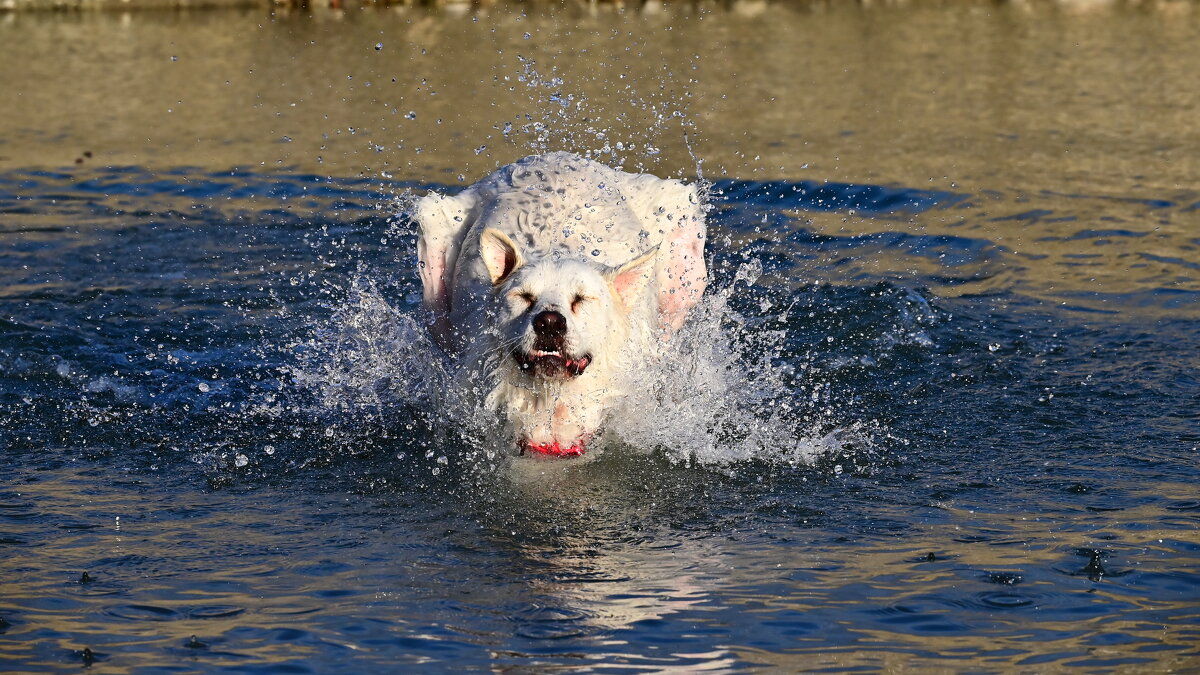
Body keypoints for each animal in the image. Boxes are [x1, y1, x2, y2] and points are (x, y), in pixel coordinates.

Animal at [415, 153, 705, 456]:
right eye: (523, 296)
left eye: (581, 298)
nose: (549, 323)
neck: (552, 399)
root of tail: (551, 156)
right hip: (433, 232)